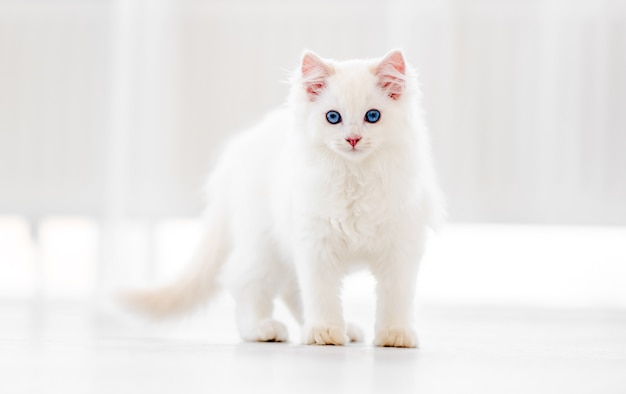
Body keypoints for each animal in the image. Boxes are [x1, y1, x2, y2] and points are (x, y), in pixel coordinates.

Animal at [123, 49, 444, 348]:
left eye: (372, 116)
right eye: (333, 117)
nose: (353, 139)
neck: (355, 178)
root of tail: (237, 151)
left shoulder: (400, 248)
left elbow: (395, 298)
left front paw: (394, 334)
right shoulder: (316, 244)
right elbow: (321, 294)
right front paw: (325, 331)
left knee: (289, 288)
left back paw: (342, 328)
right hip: (262, 243)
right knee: (245, 280)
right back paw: (263, 328)